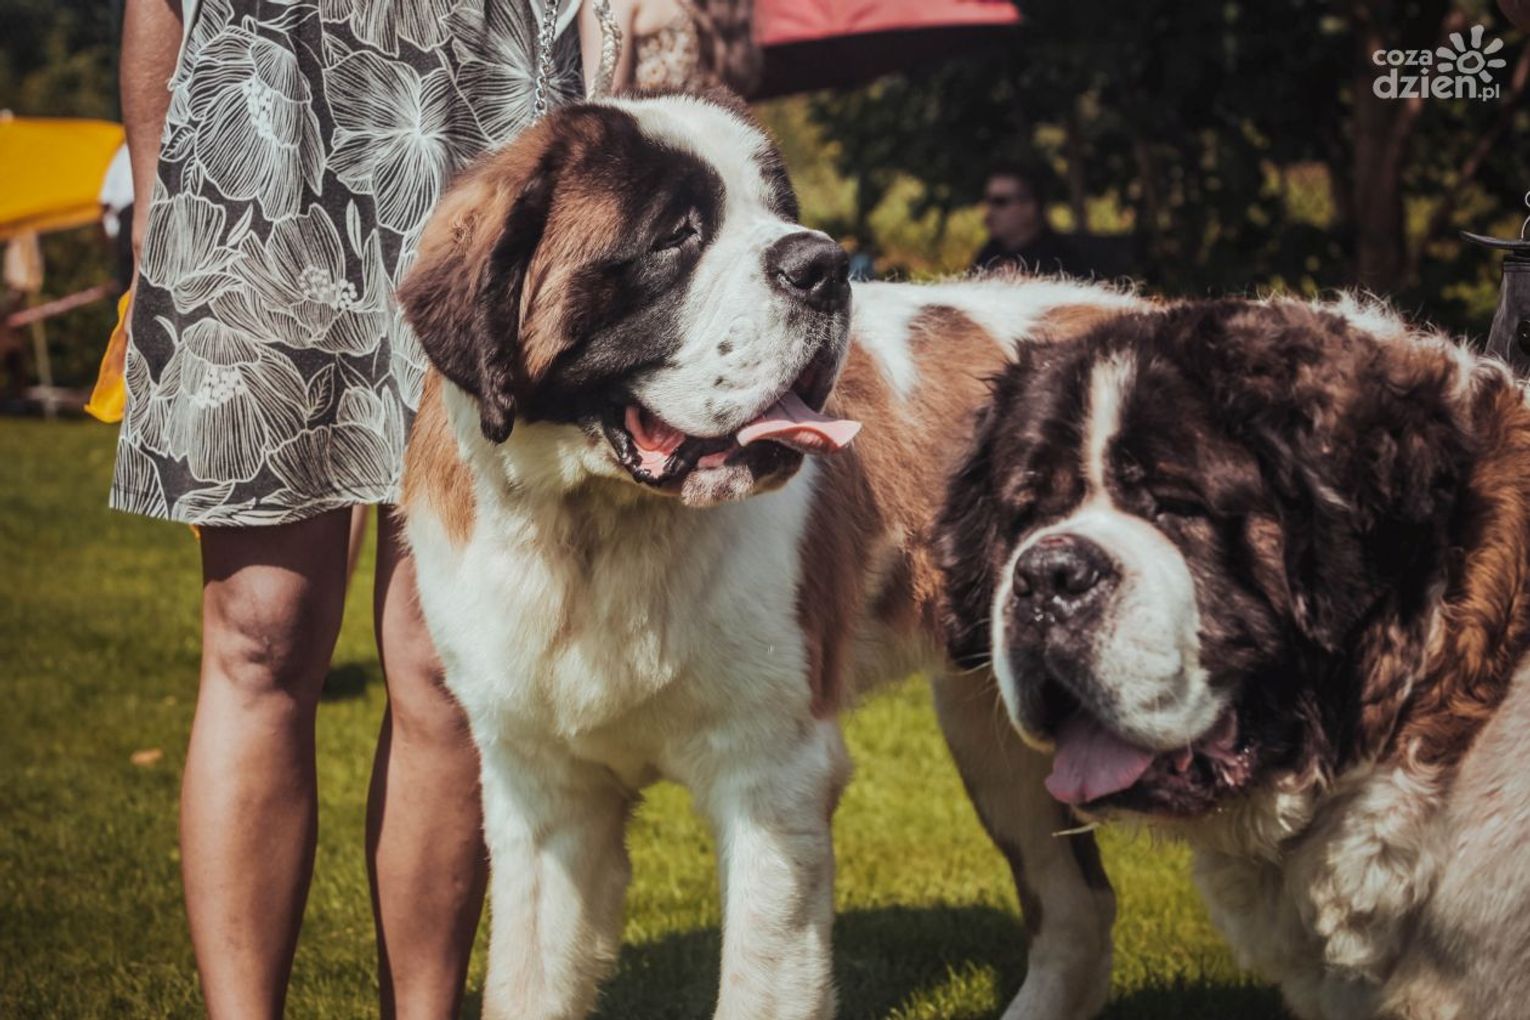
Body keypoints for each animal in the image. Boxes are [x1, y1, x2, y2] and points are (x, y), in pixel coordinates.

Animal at [395, 91, 1143, 1019]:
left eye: (782, 212)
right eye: (675, 235)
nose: (819, 263)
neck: (597, 526)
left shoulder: (771, 775)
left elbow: (759, 978)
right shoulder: (539, 792)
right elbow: (527, 983)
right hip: (993, 731)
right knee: (1078, 907)